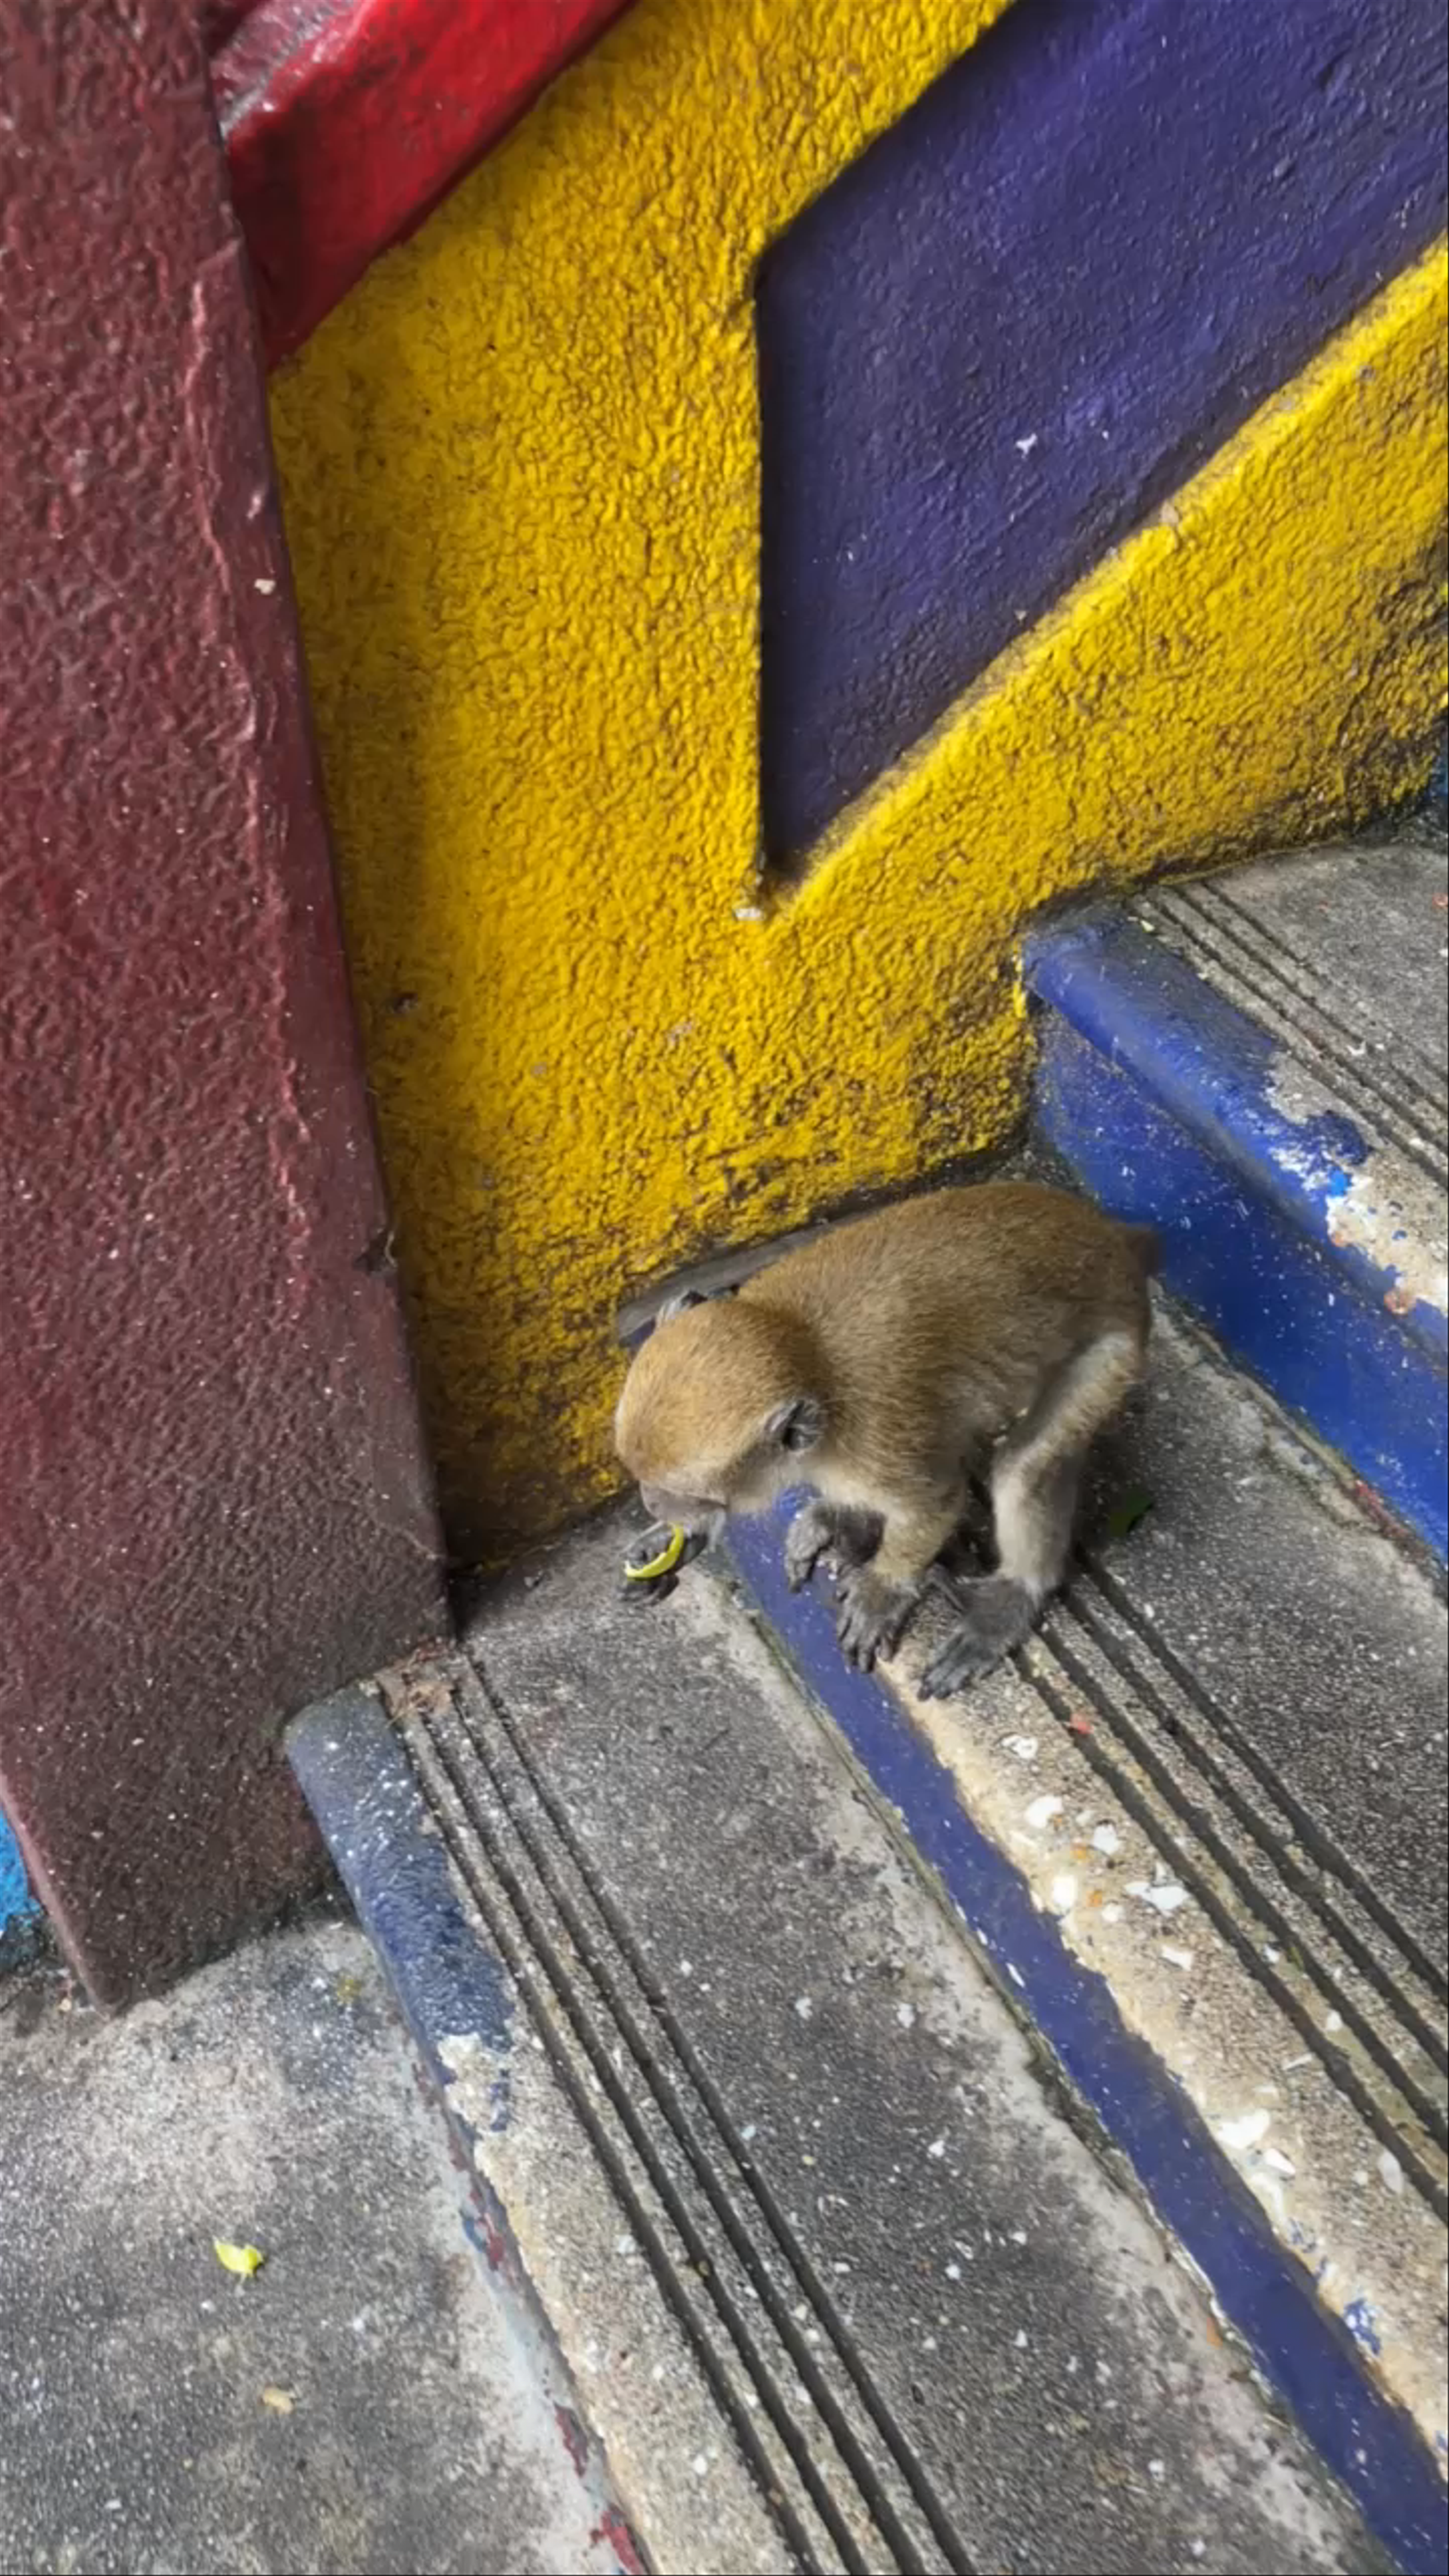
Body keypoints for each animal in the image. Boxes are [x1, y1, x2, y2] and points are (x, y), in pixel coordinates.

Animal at [613, 1181, 1156, 1695]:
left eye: (682, 1492)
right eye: (643, 1479)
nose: (655, 1504)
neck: (811, 1356)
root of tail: (1113, 1239)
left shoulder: (875, 1441)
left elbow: (937, 1503)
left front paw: (884, 1588)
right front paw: (678, 1540)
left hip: (1115, 1352)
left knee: (1024, 1468)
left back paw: (1018, 1590)